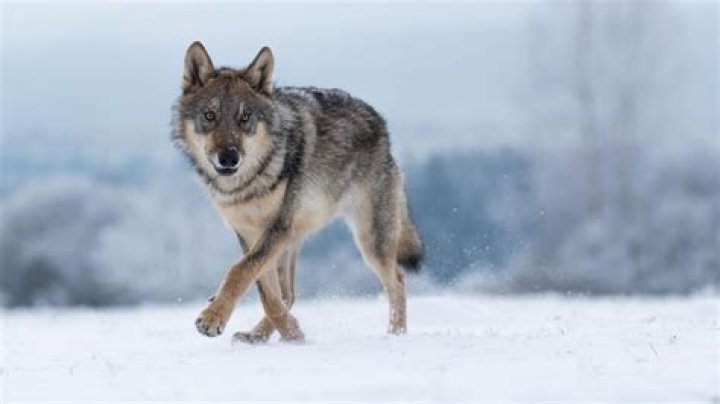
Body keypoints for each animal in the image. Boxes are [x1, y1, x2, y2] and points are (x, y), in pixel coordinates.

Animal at [172, 41, 423, 342]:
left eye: (245, 118)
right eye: (209, 116)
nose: (229, 158)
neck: (249, 185)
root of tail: (381, 124)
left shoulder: (277, 228)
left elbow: (240, 271)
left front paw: (212, 318)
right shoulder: (249, 233)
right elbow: (265, 291)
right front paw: (292, 334)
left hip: (369, 240)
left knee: (397, 281)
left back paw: (396, 334)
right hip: (294, 241)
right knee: (288, 294)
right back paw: (259, 336)